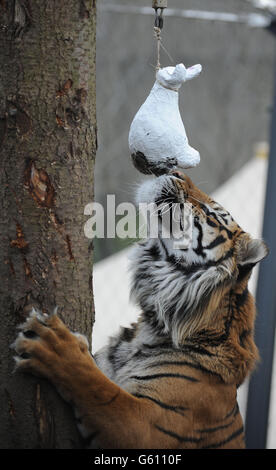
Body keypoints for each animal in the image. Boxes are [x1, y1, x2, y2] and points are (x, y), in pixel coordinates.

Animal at [12, 172, 268, 448]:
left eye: (211, 213)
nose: (178, 172)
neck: (157, 325)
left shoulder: (145, 426)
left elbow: (98, 387)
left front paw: (53, 344)